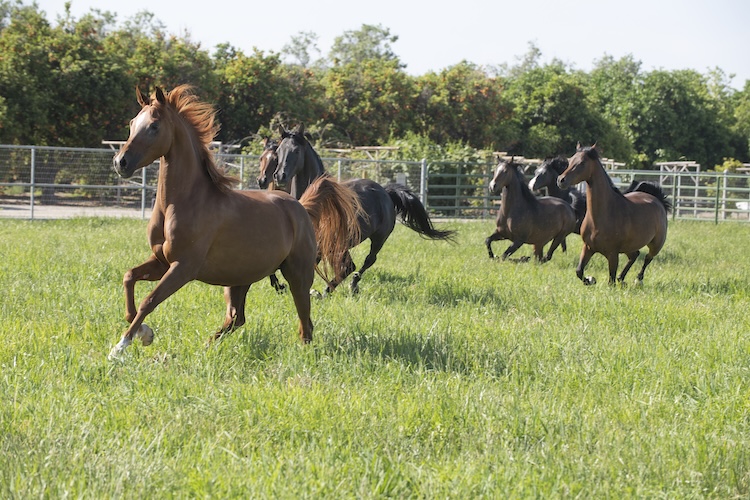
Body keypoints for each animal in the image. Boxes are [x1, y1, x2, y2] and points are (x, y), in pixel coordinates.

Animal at [108, 85, 361, 358]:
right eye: (132, 123)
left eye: (154, 126)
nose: (120, 162)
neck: (185, 202)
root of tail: (301, 207)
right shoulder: (162, 261)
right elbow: (129, 277)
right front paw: (144, 333)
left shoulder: (183, 267)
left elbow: (149, 300)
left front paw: (120, 346)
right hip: (239, 279)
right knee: (236, 318)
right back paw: (205, 348)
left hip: (297, 272)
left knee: (305, 318)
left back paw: (302, 351)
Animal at [274, 124, 455, 294]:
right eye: (278, 150)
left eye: (296, 151)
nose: (279, 176)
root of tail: (386, 192)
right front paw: (279, 286)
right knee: (350, 266)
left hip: (379, 238)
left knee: (366, 261)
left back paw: (348, 286)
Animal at [557, 144, 670, 285]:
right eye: (570, 160)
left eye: (582, 163)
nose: (561, 180)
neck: (601, 217)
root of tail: (658, 200)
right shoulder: (588, 247)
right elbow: (579, 271)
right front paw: (591, 280)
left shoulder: (612, 254)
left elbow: (611, 281)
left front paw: (595, 280)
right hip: (629, 246)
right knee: (635, 255)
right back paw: (622, 278)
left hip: (656, 244)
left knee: (648, 258)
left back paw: (638, 279)